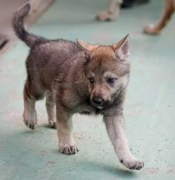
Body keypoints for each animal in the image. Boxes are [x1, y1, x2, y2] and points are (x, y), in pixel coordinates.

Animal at [11, 3, 144, 170]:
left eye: (111, 80)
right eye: (91, 79)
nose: (97, 101)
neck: (87, 90)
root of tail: (41, 41)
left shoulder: (113, 115)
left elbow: (121, 140)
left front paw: (129, 159)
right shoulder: (65, 107)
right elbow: (66, 127)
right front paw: (67, 144)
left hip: (53, 87)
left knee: (49, 100)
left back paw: (52, 120)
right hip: (38, 88)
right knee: (27, 92)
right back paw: (29, 117)